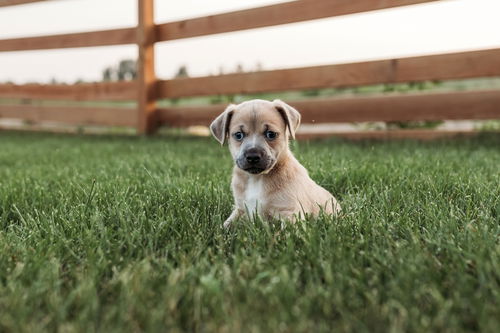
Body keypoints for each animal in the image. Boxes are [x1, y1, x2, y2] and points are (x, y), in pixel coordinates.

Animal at [209, 98, 342, 226]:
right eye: (238, 135)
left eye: (271, 134)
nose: (252, 156)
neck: (256, 179)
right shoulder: (240, 209)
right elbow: (225, 225)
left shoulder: (291, 213)